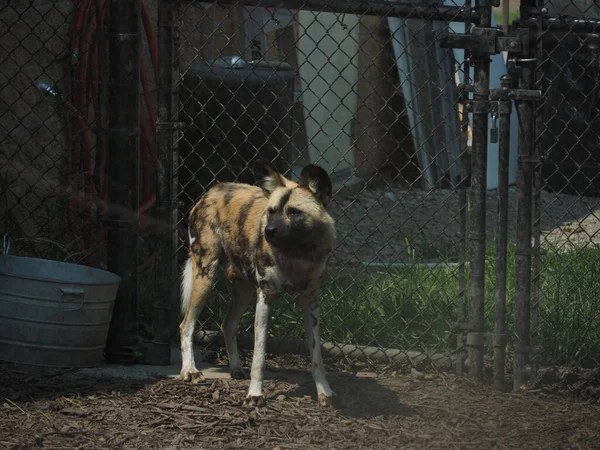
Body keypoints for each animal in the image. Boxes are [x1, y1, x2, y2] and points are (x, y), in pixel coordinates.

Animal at [178, 161, 338, 408]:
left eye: (294, 212)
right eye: (270, 211)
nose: (268, 231)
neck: (296, 255)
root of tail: (210, 192)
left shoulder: (310, 302)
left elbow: (316, 356)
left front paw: (324, 392)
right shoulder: (265, 298)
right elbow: (259, 356)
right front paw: (255, 395)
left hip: (242, 289)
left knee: (227, 325)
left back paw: (235, 367)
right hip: (206, 274)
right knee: (186, 325)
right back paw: (190, 371)